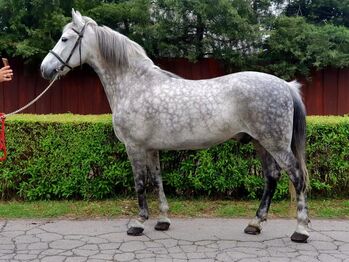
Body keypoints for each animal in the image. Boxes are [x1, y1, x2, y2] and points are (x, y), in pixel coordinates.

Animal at [40, 10, 310, 244]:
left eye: (65, 38)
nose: (45, 69)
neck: (135, 85)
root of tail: (286, 86)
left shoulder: (134, 147)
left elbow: (140, 183)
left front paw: (139, 222)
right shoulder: (151, 148)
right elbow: (157, 180)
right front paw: (163, 220)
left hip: (275, 144)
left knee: (296, 176)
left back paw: (301, 230)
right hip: (260, 142)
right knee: (272, 177)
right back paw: (255, 224)